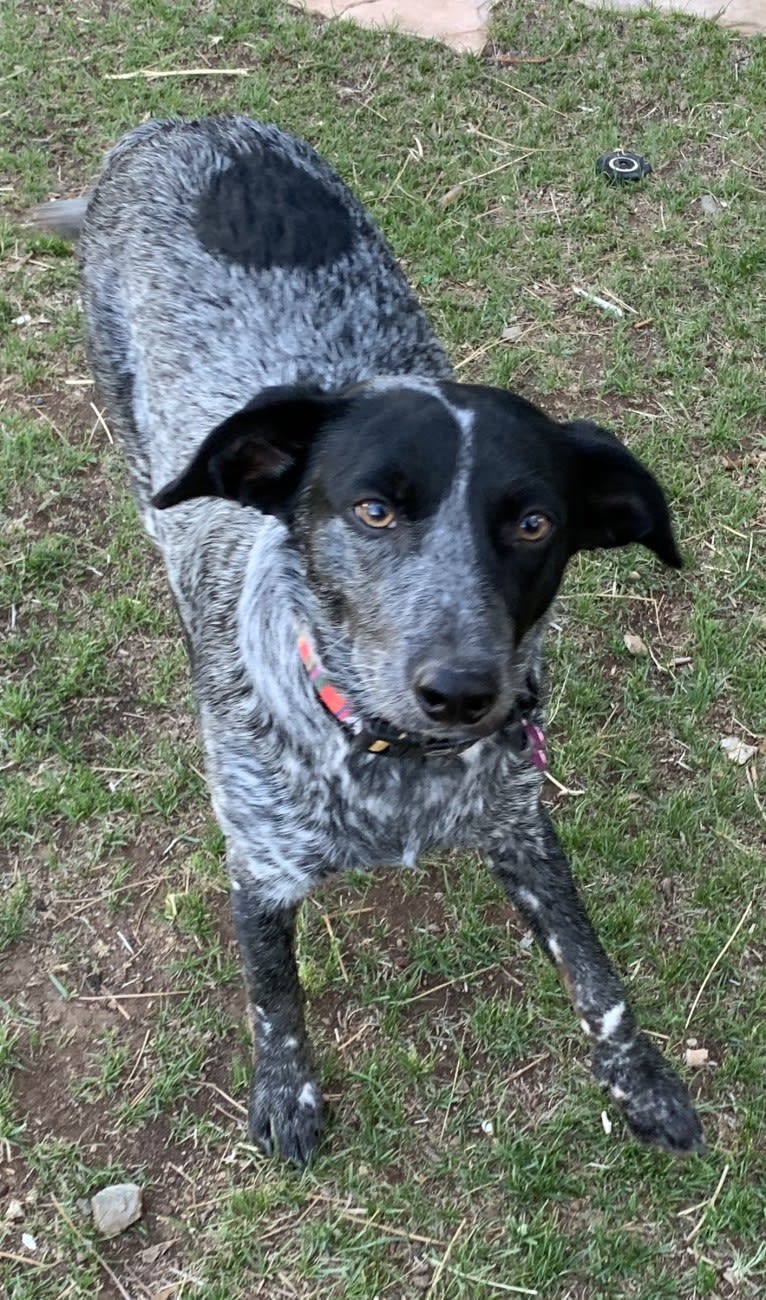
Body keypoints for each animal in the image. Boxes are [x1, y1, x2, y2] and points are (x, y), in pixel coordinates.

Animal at [37, 116, 707, 1164]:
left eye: (534, 525)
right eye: (374, 510)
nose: (466, 689)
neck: (395, 763)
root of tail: (185, 122)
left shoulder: (521, 823)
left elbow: (597, 980)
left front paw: (640, 1082)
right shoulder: (260, 869)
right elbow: (274, 998)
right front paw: (287, 1094)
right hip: (130, 417)